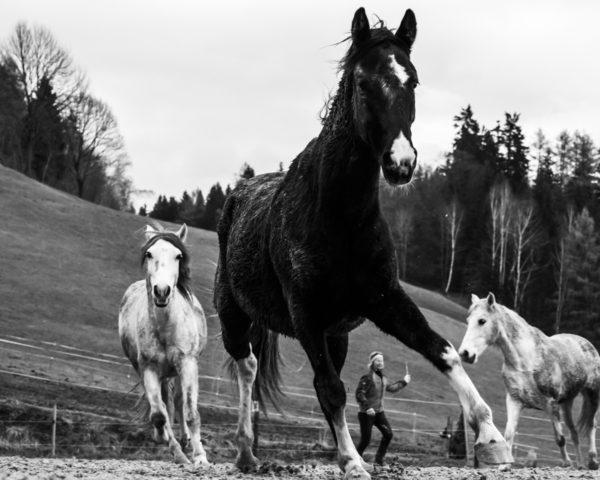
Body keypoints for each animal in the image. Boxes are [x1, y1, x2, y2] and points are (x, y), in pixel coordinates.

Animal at [119, 224, 209, 464]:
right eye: (150, 254)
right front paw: (167, 443)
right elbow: (159, 414)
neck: (165, 327)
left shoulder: (187, 364)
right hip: (144, 369)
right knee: (163, 407)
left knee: (178, 401)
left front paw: (200, 457)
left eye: (178, 256)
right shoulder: (149, 369)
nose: (161, 290)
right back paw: (176, 447)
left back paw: (187, 441)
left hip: (179, 370)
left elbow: (191, 412)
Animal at [214, 8, 510, 480]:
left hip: (337, 336)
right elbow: (331, 389)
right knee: (248, 367)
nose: (401, 163)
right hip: (234, 314)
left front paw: (491, 435)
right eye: (363, 82)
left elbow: (443, 352)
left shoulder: (384, 299)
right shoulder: (306, 315)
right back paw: (246, 453)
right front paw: (354, 462)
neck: (341, 218)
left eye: (413, 80)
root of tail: (240, 193)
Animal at [462, 292, 596, 468]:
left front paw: (567, 463)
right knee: (574, 432)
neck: (526, 360)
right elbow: (509, 435)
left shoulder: (551, 404)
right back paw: (580, 464)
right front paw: (504, 466)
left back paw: (592, 461)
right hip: (567, 403)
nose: (465, 353)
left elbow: (559, 439)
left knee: (591, 425)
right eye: (468, 320)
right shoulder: (514, 401)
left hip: (593, 394)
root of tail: (587, 343)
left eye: (482, 320)